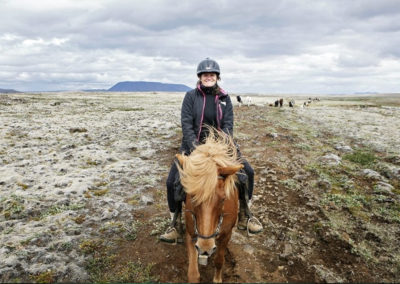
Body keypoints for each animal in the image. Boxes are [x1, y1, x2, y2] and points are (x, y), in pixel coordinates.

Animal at [176, 130, 244, 282]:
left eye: (223, 199)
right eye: (192, 197)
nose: (205, 248)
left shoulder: (226, 234)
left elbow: (219, 260)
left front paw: (217, 279)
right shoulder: (191, 233)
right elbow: (192, 273)